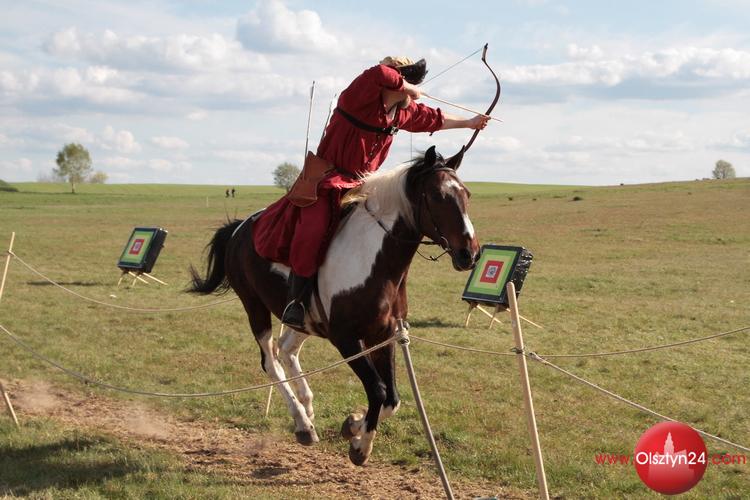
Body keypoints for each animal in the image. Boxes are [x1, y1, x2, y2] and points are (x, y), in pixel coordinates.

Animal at [189, 145, 479, 466]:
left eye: (466, 194)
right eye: (438, 196)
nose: (469, 254)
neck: (374, 261)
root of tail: (239, 228)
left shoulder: (383, 334)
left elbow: (392, 399)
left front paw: (353, 425)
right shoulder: (346, 339)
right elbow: (378, 390)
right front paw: (360, 446)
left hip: (302, 319)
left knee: (286, 350)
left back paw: (306, 409)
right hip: (254, 306)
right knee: (271, 361)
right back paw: (303, 423)